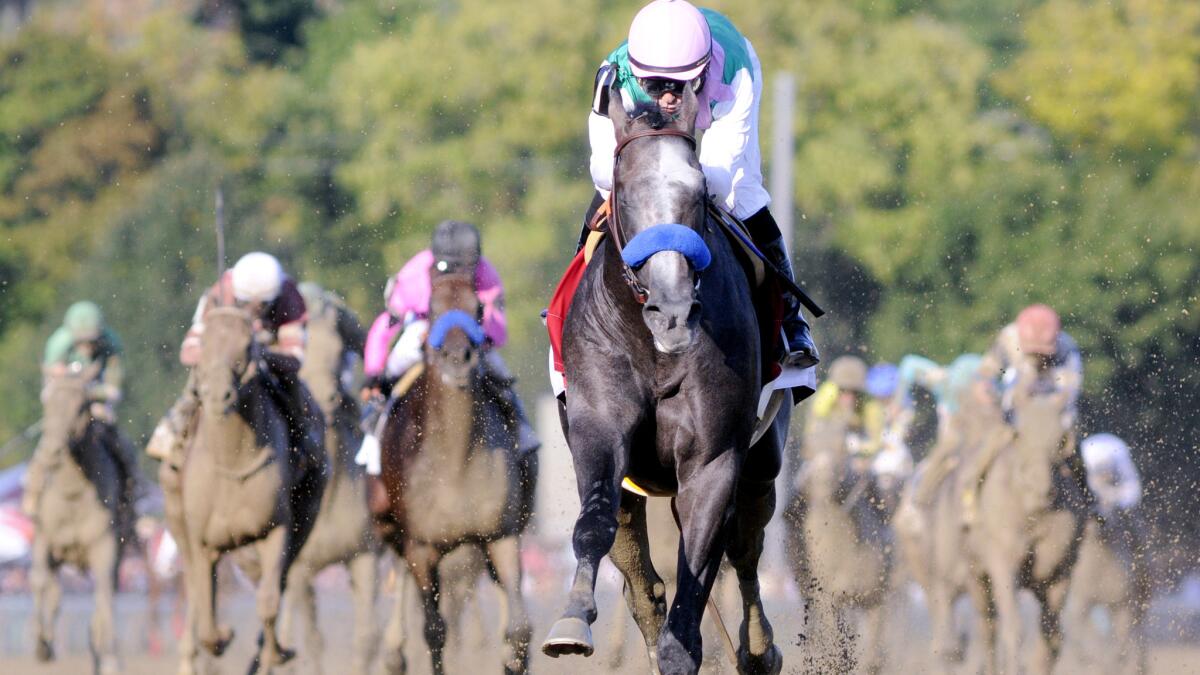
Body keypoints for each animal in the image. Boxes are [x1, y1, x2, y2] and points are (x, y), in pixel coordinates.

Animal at [29, 362, 124, 672]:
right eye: (47, 402)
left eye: (81, 405)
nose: (52, 451)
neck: (72, 493)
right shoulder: (44, 536)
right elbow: (39, 582)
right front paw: (42, 646)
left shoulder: (105, 541)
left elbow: (104, 592)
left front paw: (109, 657)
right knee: (54, 592)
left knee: (105, 592)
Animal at [171, 307, 326, 667]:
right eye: (204, 343)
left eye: (246, 346)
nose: (217, 395)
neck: (232, 462)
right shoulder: (203, 542)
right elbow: (207, 621)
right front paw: (223, 635)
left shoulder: (276, 528)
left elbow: (268, 601)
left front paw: (275, 653)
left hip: (308, 512)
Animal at [374, 270, 535, 667]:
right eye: (431, 310)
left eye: (478, 308)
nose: (458, 358)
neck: (456, 464)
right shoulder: (421, 546)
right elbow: (434, 631)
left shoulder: (501, 534)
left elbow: (520, 630)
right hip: (390, 527)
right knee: (401, 576)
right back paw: (394, 652)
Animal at [964, 389, 1089, 672]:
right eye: (1019, 434)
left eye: (1061, 438)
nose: (1040, 488)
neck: (1034, 515)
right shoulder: (1002, 561)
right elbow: (1013, 628)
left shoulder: (1059, 571)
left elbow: (1051, 637)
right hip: (975, 574)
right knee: (988, 626)